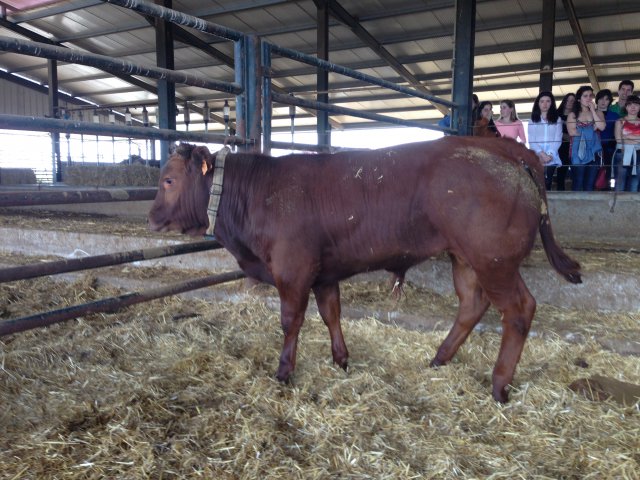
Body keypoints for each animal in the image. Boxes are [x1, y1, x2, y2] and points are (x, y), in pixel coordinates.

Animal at [149, 137, 580, 404]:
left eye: (168, 180)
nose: (151, 217)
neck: (257, 193)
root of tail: (510, 152)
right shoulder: (323, 274)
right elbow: (331, 314)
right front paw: (341, 360)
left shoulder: (293, 269)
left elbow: (291, 320)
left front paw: (284, 371)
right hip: (466, 260)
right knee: (472, 305)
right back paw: (439, 359)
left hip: (495, 261)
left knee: (519, 310)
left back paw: (499, 384)